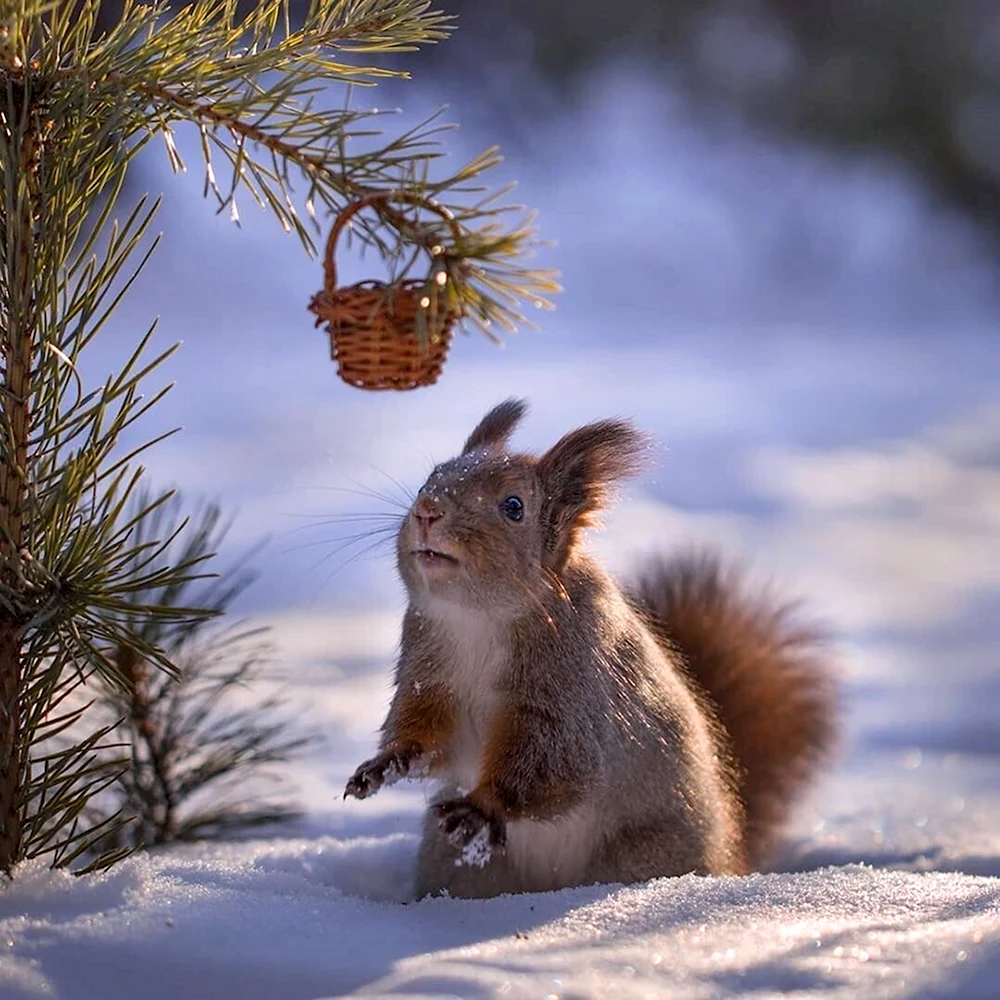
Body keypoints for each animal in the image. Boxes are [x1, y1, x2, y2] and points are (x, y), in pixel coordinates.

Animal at [344, 398, 836, 900]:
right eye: (432, 476)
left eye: (514, 506)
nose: (427, 510)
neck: (478, 621)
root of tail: (731, 856)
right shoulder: (428, 673)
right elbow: (427, 732)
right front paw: (385, 764)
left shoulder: (571, 688)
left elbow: (557, 762)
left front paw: (480, 808)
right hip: (457, 867)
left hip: (642, 856)